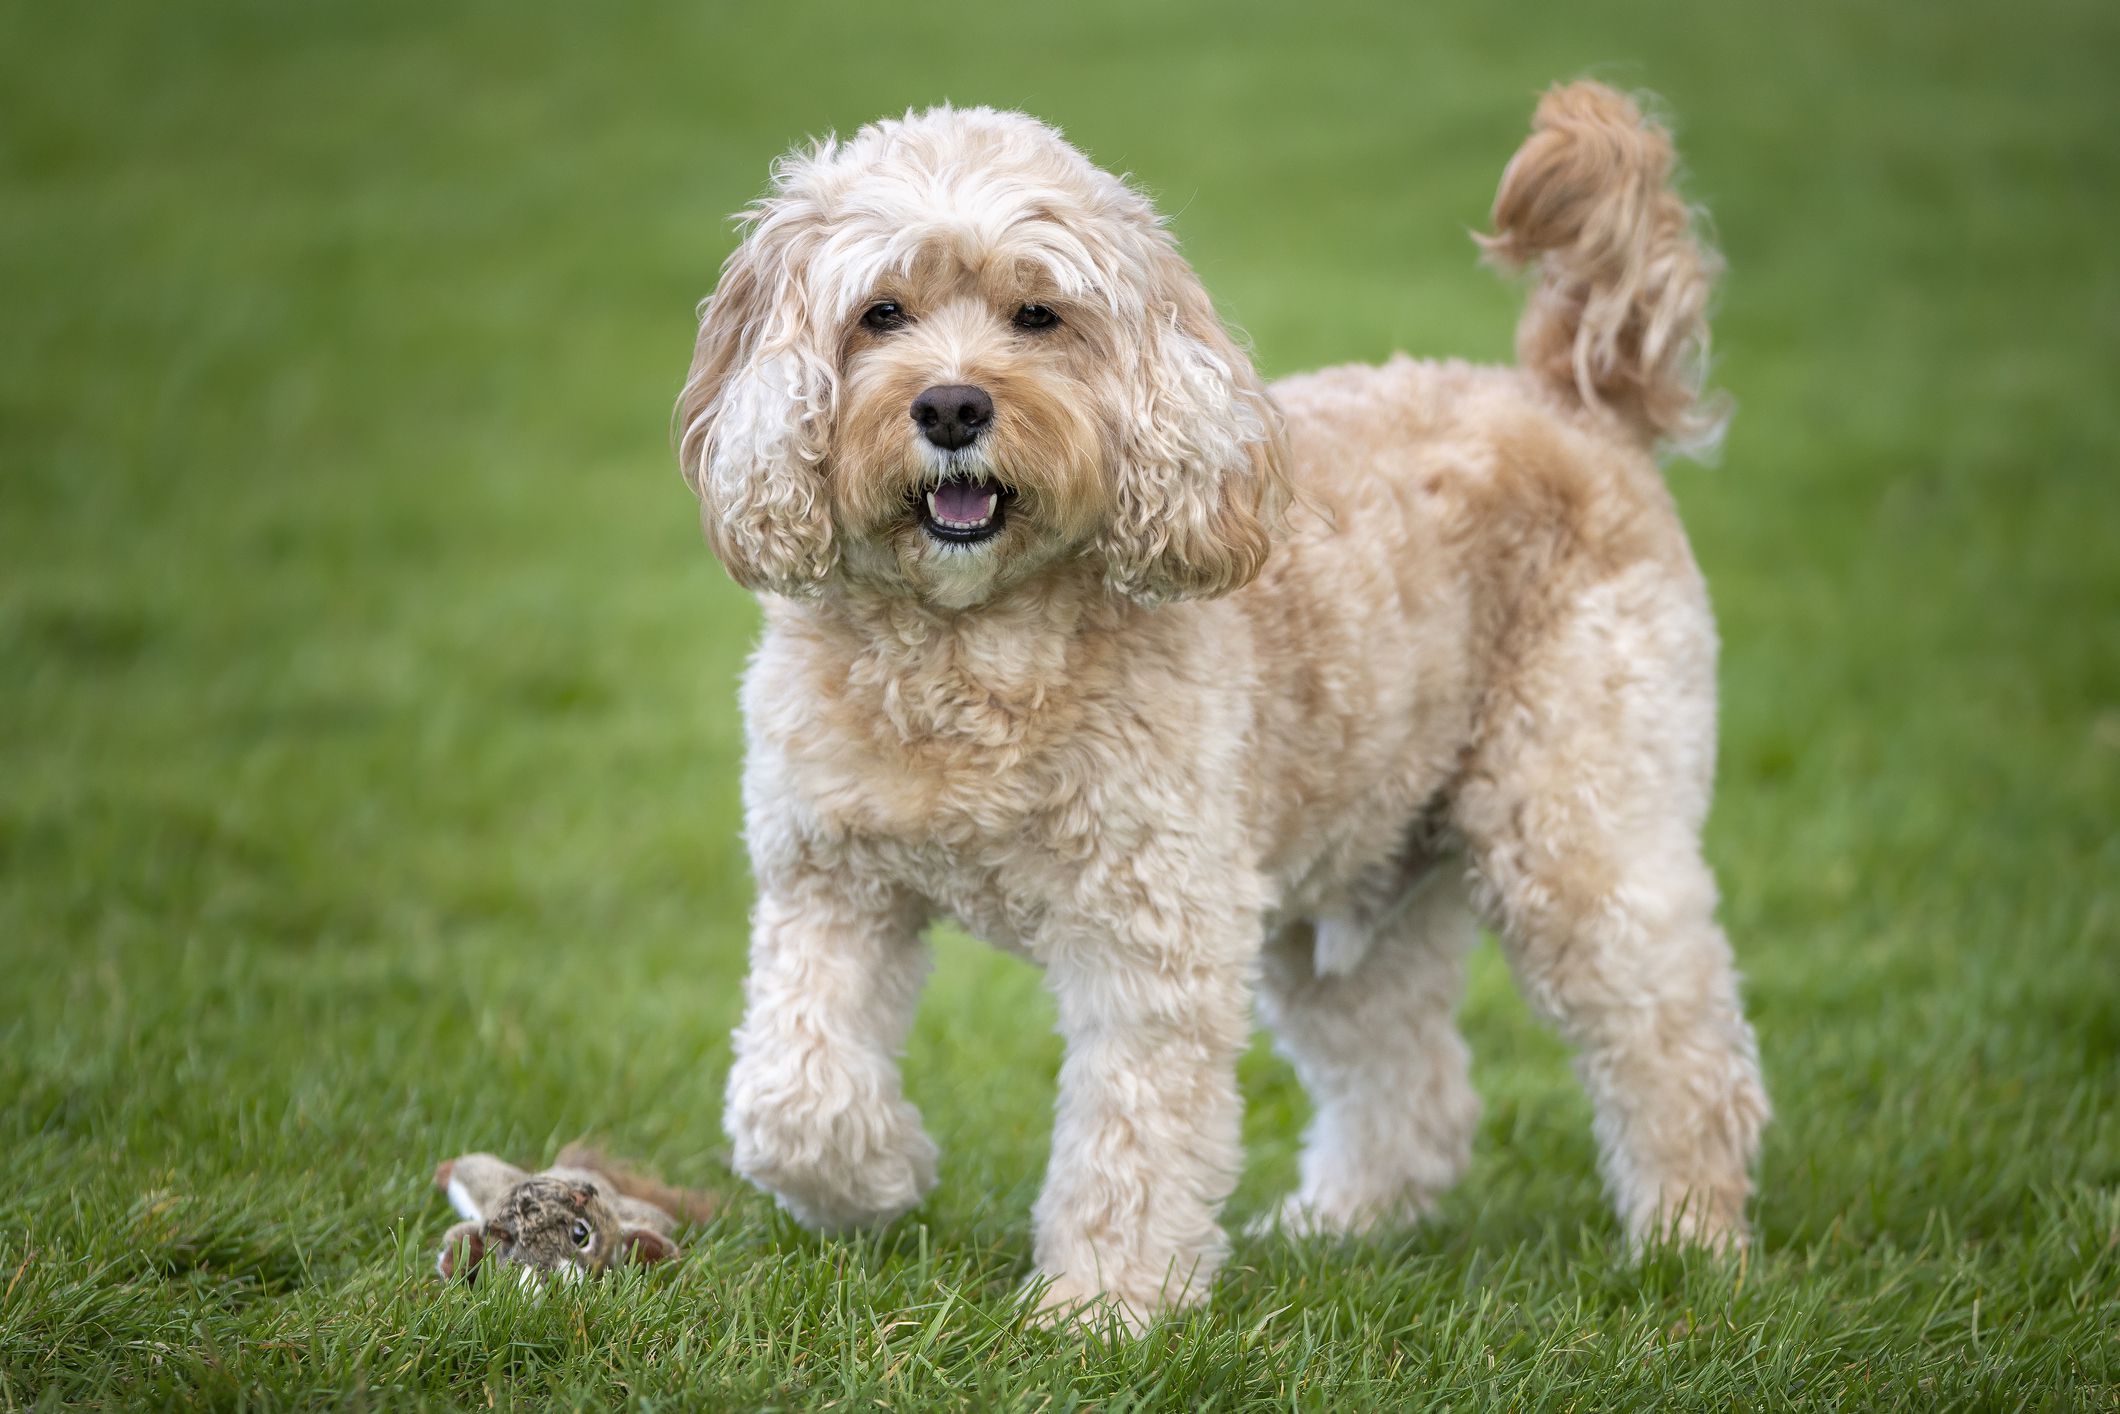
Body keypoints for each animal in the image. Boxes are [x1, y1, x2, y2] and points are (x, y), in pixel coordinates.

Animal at [678, 83, 1772, 1331]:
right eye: (880, 311)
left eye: (1037, 314)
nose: (952, 405)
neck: (969, 644)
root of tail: (1569, 394)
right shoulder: (827, 881)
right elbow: (787, 1093)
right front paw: (880, 1177)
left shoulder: (1154, 922)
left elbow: (1134, 1132)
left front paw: (1100, 1309)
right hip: (1349, 886)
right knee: (1411, 1078)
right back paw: (1338, 1224)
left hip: (1577, 828)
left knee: (1676, 1045)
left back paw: (1691, 1242)